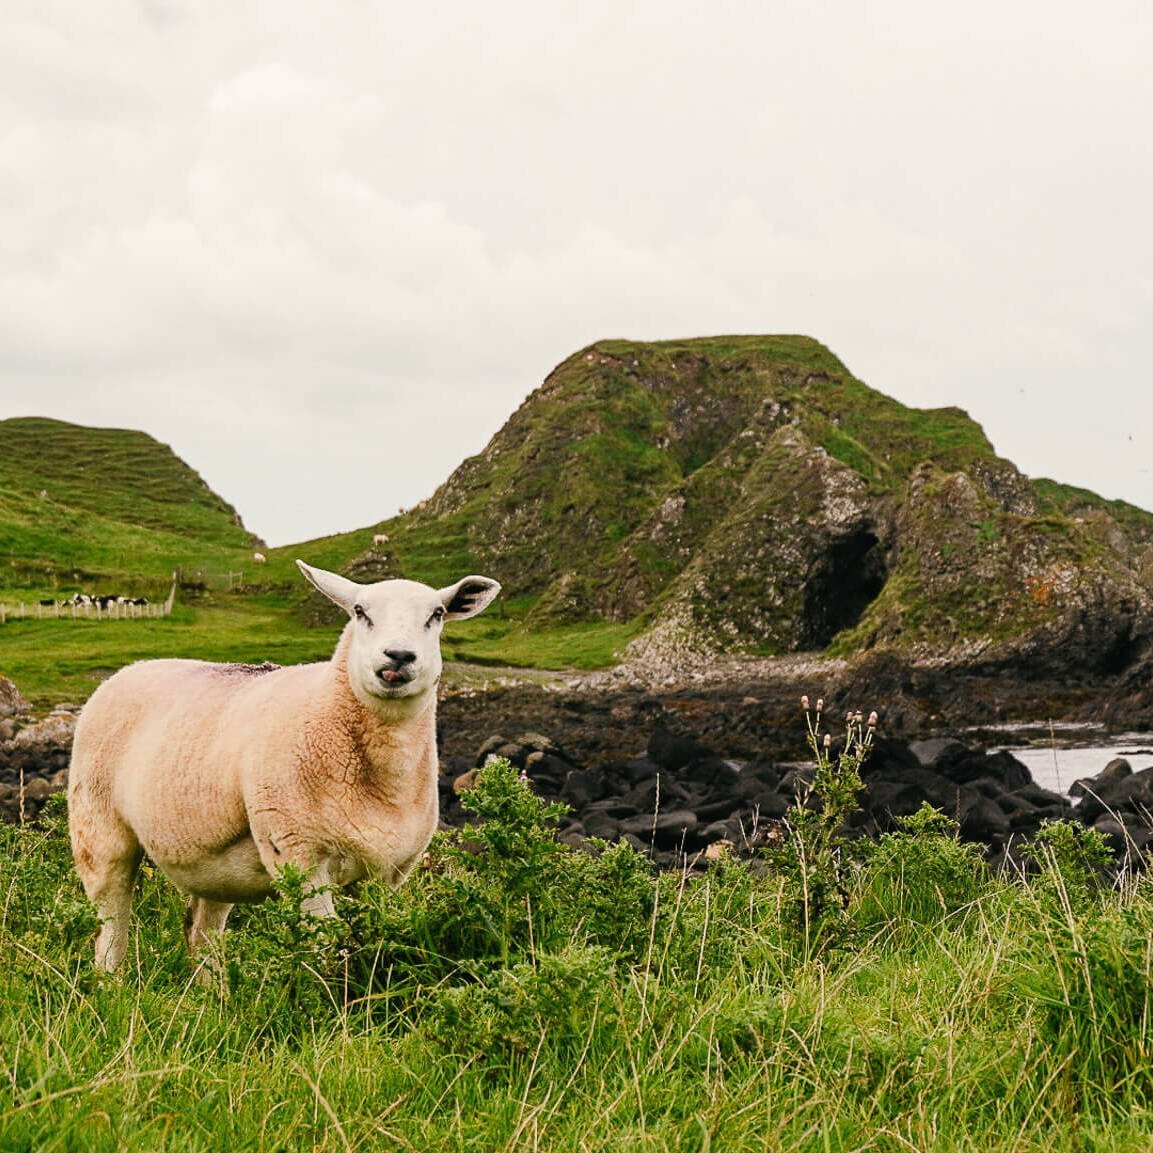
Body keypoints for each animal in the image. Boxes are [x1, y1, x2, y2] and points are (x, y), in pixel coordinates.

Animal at [67, 560, 501, 974]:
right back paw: (111, 985)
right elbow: (329, 950)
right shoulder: (300, 856)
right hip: (99, 829)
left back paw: (215, 995)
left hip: (213, 862)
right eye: (360, 611)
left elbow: (374, 945)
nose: (398, 656)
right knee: (111, 923)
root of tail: (130, 668)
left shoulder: (390, 874)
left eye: (437, 614)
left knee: (201, 930)